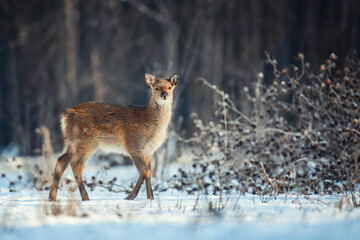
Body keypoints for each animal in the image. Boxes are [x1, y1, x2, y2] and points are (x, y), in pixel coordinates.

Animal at [49, 73, 179, 201]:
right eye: (156, 88)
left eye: (169, 87)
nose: (164, 94)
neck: (150, 121)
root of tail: (66, 115)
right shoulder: (134, 145)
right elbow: (145, 171)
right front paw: (130, 196)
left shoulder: (149, 151)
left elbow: (149, 173)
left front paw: (150, 197)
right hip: (85, 141)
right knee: (76, 164)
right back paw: (85, 197)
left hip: (73, 142)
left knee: (61, 160)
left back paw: (52, 197)